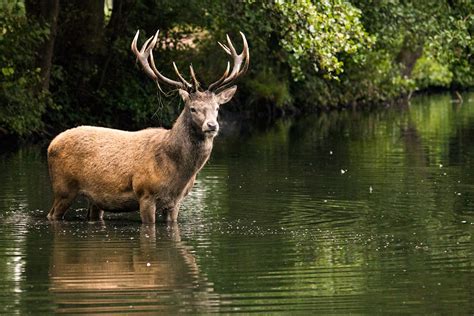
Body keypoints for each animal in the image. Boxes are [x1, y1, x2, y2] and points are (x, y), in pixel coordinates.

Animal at [46, 28, 250, 223]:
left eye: (217, 107)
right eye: (192, 108)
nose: (212, 125)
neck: (177, 174)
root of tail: (51, 144)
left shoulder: (176, 202)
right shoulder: (145, 193)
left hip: (95, 199)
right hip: (63, 188)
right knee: (52, 214)